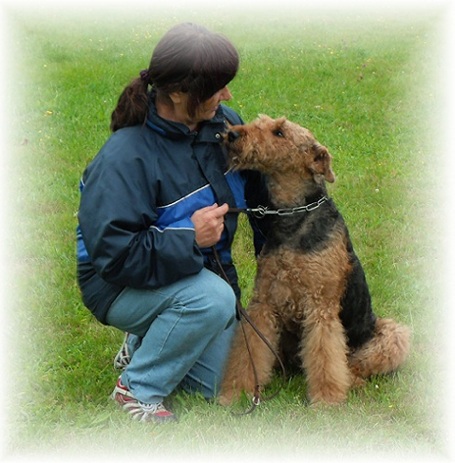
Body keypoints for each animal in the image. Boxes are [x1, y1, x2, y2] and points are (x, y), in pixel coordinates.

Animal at [221, 115, 414, 406]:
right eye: (260, 121)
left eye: (279, 132)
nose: (232, 134)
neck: (294, 216)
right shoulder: (263, 303)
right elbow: (249, 351)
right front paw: (236, 392)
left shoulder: (320, 307)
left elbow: (325, 355)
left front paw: (326, 400)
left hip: (392, 335)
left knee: (354, 364)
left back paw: (352, 383)